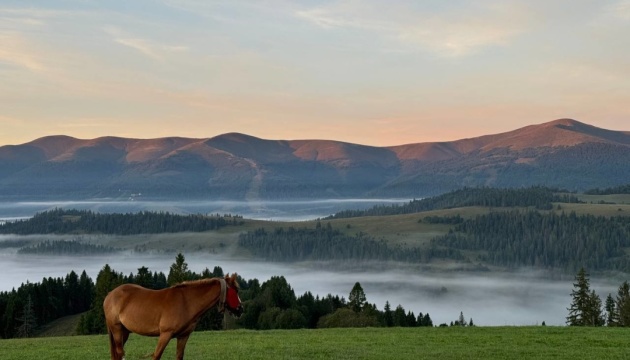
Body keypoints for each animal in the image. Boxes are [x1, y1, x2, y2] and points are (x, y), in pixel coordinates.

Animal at [103, 272, 244, 360]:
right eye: (236, 290)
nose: (240, 309)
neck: (186, 302)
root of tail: (110, 295)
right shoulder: (165, 334)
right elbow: (156, 356)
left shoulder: (183, 336)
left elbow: (179, 356)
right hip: (116, 329)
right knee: (120, 353)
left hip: (124, 331)